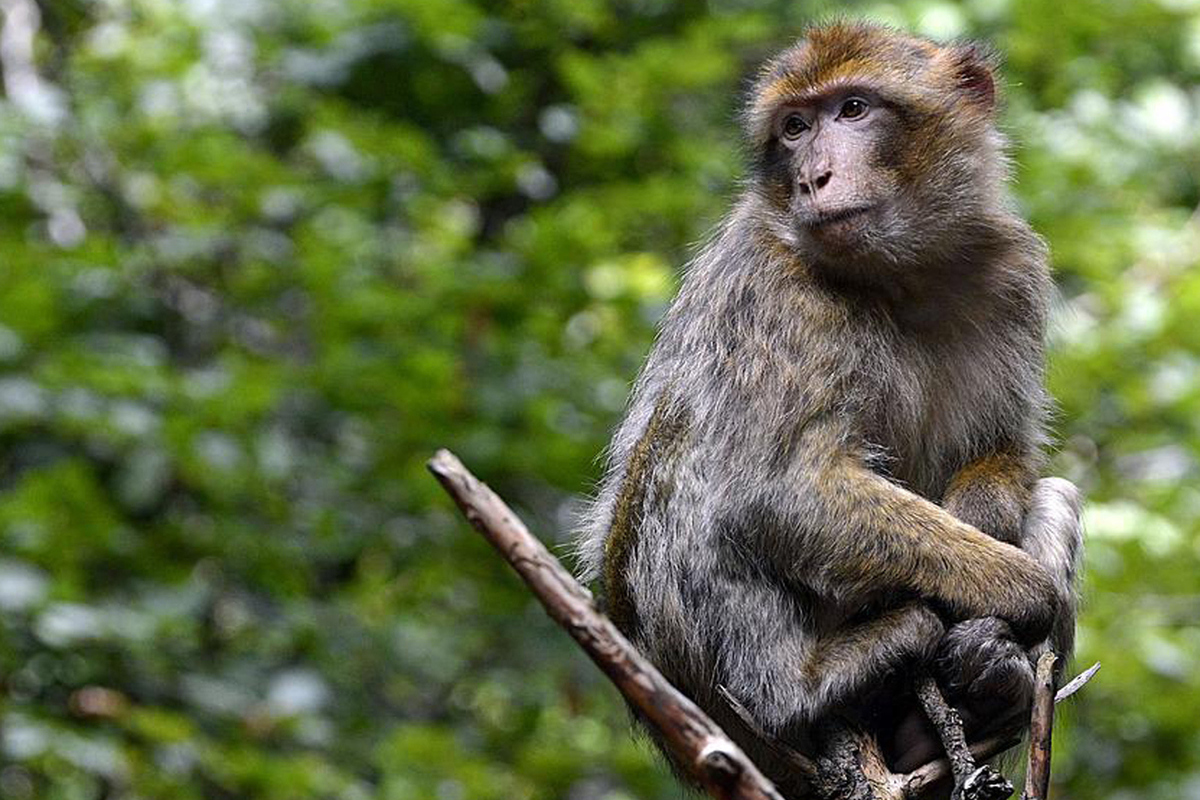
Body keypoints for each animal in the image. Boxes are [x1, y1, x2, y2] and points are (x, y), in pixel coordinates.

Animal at [576, 21, 1084, 796]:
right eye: (794, 127)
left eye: (852, 109)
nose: (813, 176)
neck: (898, 276)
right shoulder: (774, 289)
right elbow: (780, 488)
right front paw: (1022, 587)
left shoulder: (1014, 271)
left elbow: (1004, 452)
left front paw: (984, 522)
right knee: (691, 464)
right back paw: (806, 685)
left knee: (1055, 492)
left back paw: (982, 688)